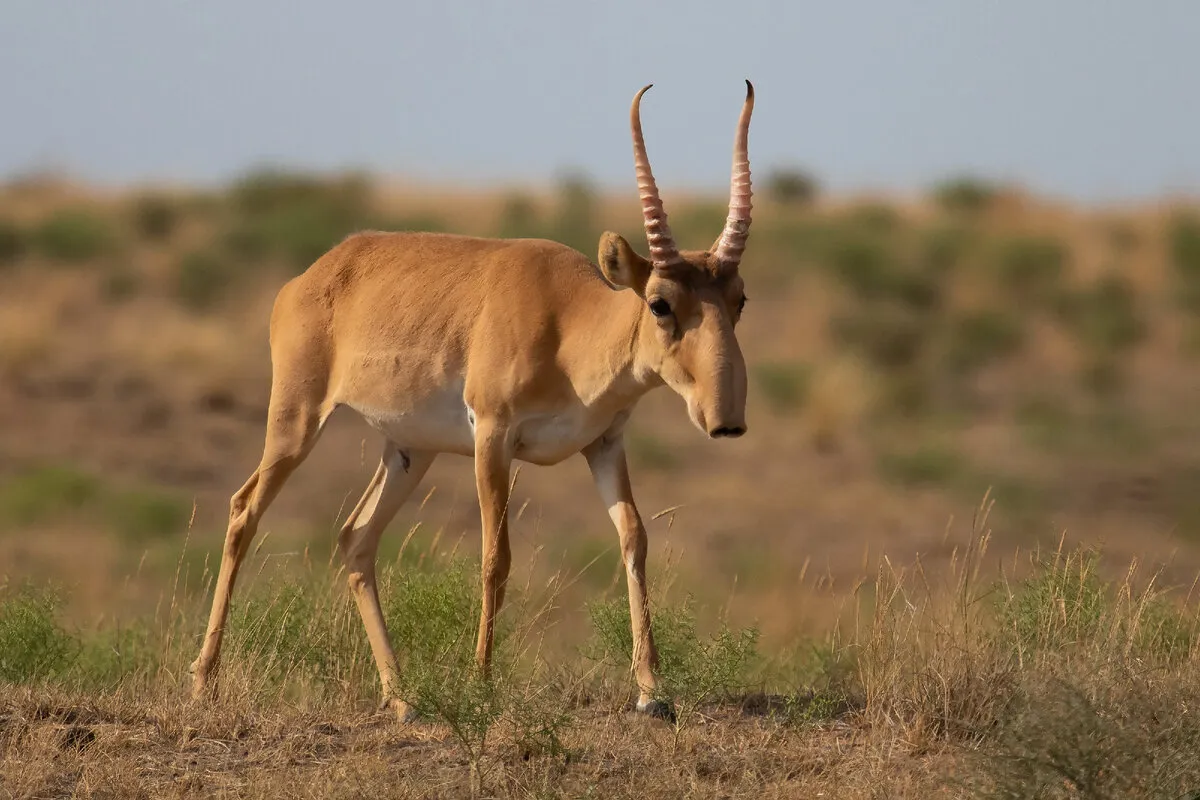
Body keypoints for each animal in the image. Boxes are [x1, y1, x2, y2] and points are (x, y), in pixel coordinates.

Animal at [190, 79, 753, 719]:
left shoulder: (605, 443)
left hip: (409, 452)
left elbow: (634, 539)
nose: (725, 420)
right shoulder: (493, 437)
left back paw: (402, 699)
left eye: (738, 298)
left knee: (356, 539)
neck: (566, 318)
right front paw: (482, 684)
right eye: (659, 302)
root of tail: (312, 276)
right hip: (296, 423)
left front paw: (651, 692)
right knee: (244, 511)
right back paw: (203, 682)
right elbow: (494, 556)